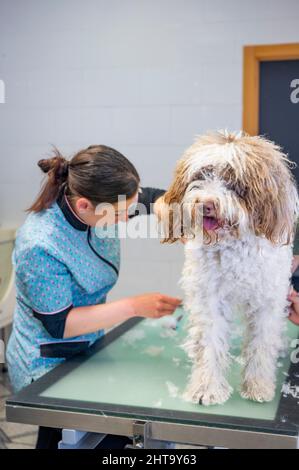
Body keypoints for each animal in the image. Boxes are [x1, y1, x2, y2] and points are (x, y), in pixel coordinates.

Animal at [161, 130, 299, 406]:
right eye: (201, 176)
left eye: (233, 181)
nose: (206, 204)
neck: (233, 245)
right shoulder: (208, 298)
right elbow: (210, 343)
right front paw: (207, 388)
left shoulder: (267, 300)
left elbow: (261, 343)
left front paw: (258, 385)